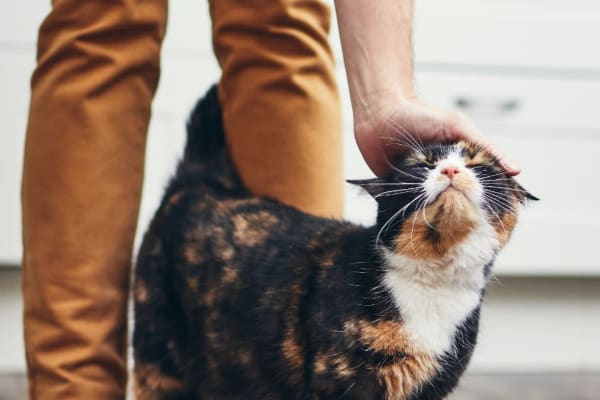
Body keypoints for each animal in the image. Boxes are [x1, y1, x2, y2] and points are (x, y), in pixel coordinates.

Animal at [135, 85, 536, 400]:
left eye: (479, 165)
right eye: (422, 165)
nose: (450, 169)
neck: (432, 284)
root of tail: (200, 182)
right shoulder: (339, 383)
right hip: (158, 358)